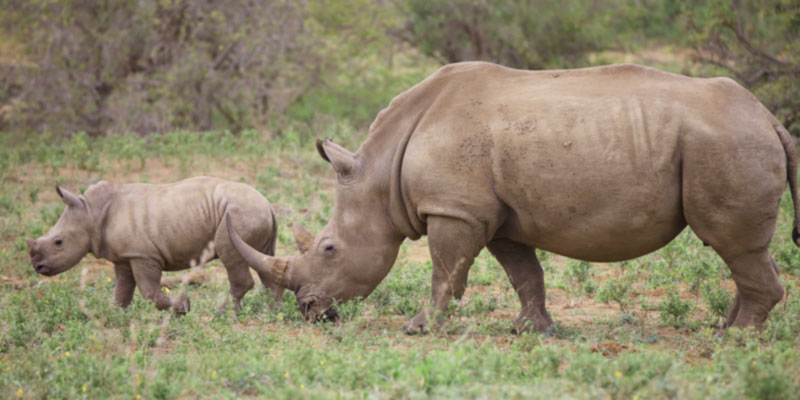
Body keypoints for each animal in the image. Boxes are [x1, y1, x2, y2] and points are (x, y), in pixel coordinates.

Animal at [27, 176, 283, 313]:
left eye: (58, 242)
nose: (38, 267)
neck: (90, 212)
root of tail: (268, 204)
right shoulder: (125, 256)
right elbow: (122, 289)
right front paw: (114, 315)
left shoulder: (143, 255)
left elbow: (149, 292)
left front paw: (184, 307)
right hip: (252, 213)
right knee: (262, 258)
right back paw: (272, 309)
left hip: (240, 214)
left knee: (232, 255)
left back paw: (223, 313)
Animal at [227, 62, 798, 333]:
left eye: (328, 249)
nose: (308, 310)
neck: (381, 173)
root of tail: (768, 117)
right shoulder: (494, 214)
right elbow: (524, 272)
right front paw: (531, 331)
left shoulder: (455, 209)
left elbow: (444, 272)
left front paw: (418, 329)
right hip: (727, 139)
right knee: (738, 250)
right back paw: (725, 327)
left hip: (725, 141)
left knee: (732, 245)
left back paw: (734, 338)